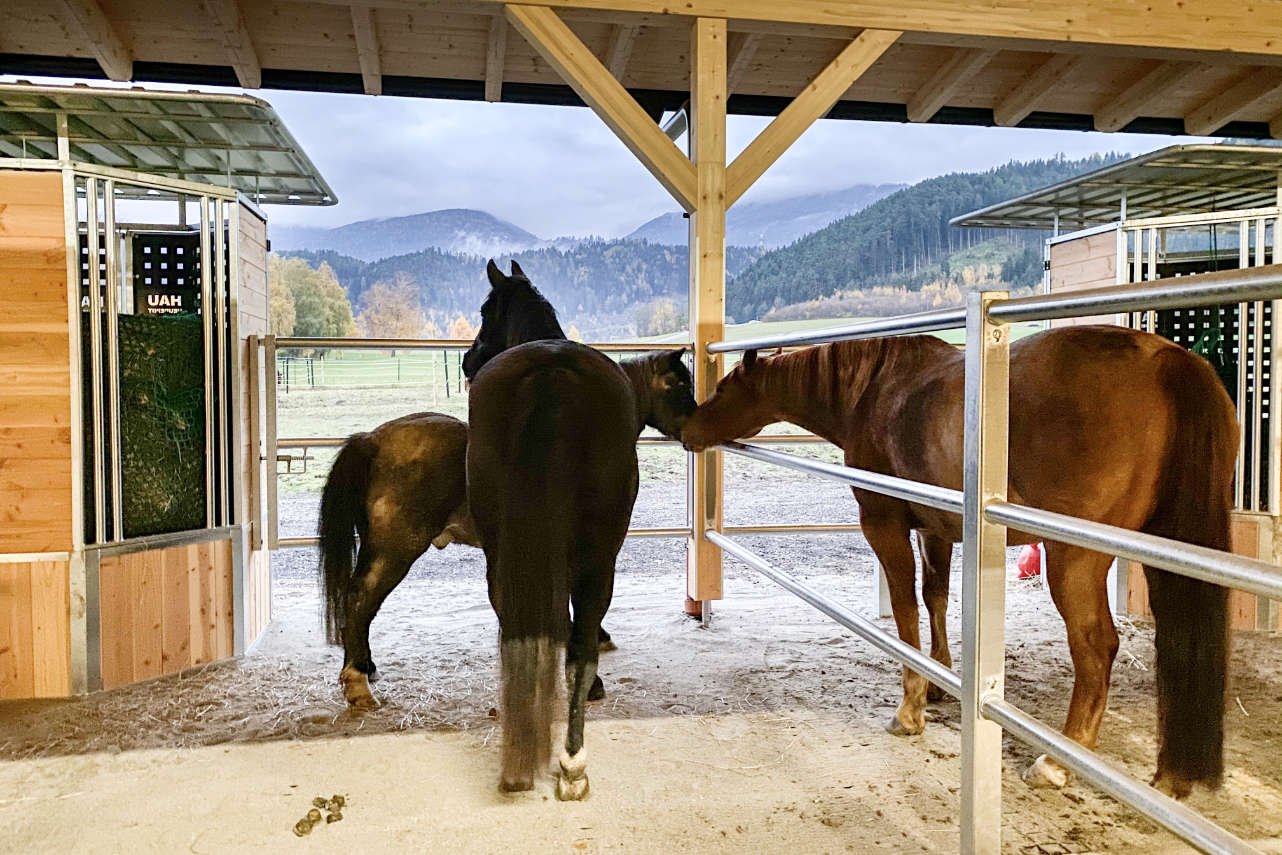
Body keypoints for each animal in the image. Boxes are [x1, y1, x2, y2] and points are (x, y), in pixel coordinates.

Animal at [466, 258, 697, 794]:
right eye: (680, 386)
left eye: (485, 311)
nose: (467, 361)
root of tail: (551, 376)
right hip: (596, 558)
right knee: (577, 645)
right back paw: (571, 757)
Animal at [687, 324, 1235, 799]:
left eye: (727, 387)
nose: (687, 429)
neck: (872, 391)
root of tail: (1169, 360)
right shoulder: (936, 529)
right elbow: (936, 598)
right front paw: (938, 682)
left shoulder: (883, 525)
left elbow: (905, 611)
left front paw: (910, 708)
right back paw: (1168, 775)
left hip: (1075, 556)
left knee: (1097, 645)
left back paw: (1058, 762)